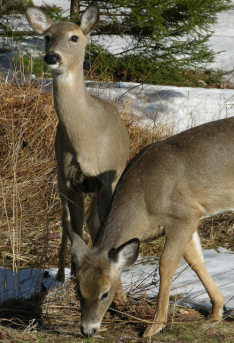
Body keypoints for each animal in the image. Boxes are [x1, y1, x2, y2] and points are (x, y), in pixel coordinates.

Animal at [26, 3, 131, 282]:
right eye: (47, 36)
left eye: (74, 37)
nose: (52, 57)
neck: (86, 140)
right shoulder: (71, 179)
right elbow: (74, 227)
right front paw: (74, 274)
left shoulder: (106, 181)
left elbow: (102, 226)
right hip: (60, 179)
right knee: (67, 221)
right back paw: (61, 274)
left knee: (92, 221)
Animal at [66, 118, 233, 338]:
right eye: (79, 289)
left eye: (105, 293)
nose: (87, 330)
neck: (144, 203)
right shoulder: (185, 221)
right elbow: (195, 260)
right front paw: (216, 311)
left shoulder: (184, 215)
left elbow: (167, 264)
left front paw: (155, 325)